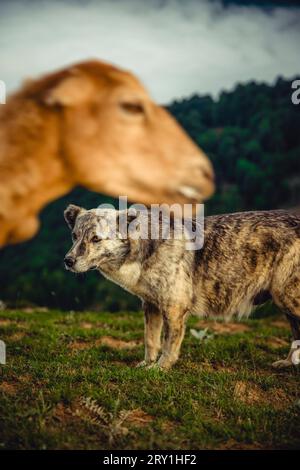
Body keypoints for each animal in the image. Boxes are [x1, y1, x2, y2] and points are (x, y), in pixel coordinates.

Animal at [63, 206, 300, 370]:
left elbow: (169, 344)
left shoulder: (174, 308)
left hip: (287, 299)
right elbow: (151, 341)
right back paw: (288, 363)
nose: (68, 261)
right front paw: (146, 365)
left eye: (96, 239)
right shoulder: (151, 306)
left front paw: (160, 369)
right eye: (74, 236)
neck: (148, 246)